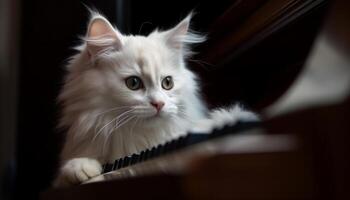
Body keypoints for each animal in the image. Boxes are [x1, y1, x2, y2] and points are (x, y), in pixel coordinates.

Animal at [54, 11, 258, 188]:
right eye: (133, 83)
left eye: (167, 83)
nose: (159, 104)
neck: (141, 142)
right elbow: (65, 176)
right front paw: (80, 167)